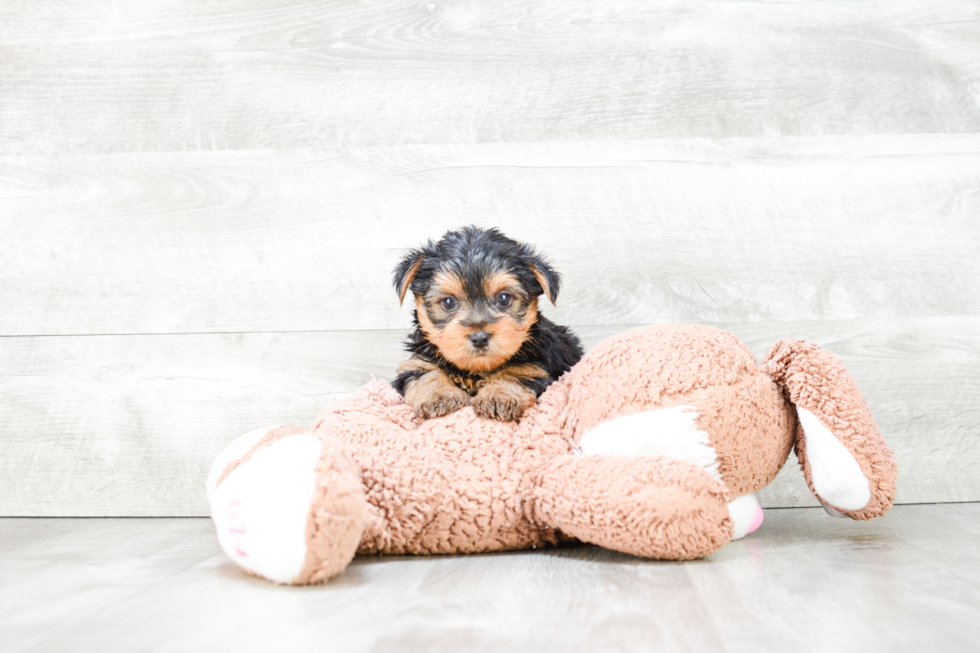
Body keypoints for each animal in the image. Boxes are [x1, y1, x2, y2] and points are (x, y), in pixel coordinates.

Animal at [390, 227, 580, 422]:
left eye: (503, 298)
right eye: (448, 302)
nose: (480, 338)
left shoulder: (532, 368)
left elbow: (513, 374)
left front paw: (498, 397)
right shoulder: (418, 362)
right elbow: (427, 373)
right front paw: (440, 396)